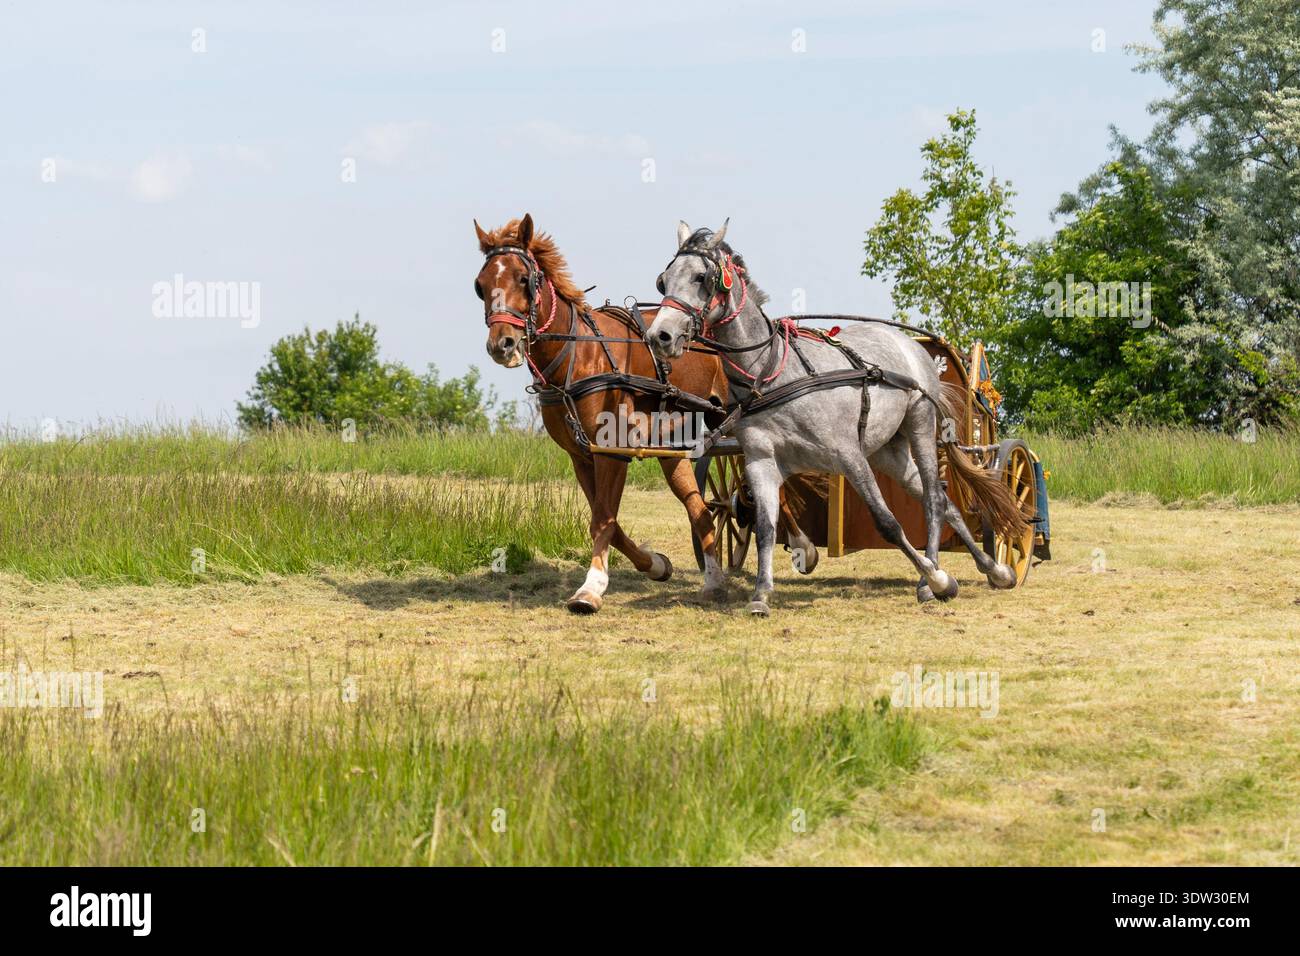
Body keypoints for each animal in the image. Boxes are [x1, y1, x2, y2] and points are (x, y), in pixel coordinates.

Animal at [473, 214, 817, 612]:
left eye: (523, 279)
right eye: (481, 285)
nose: (502, 344)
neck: (580, 356)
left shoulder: (613, 451)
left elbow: (603, 519)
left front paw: (590, 588)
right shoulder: (582, 455)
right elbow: (609, 521)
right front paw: (655, 564)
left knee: (767, 487)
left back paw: (802, 547)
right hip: (675, 445)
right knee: (701, 510)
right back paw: (715, 579)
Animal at [643, 219, 1032, 616]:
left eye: (701, 277)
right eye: (663, 280)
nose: (659, 336)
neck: (771, 372)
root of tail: (911, 345)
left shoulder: (848, 455)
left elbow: (888, 524)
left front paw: (940, 579)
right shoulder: (761, 461)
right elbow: (765, 527)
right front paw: (761, 594)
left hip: (920, 425)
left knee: (934, 502)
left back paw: (932, 578)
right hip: (888, 453)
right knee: (946, 503)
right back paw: (994, 570)